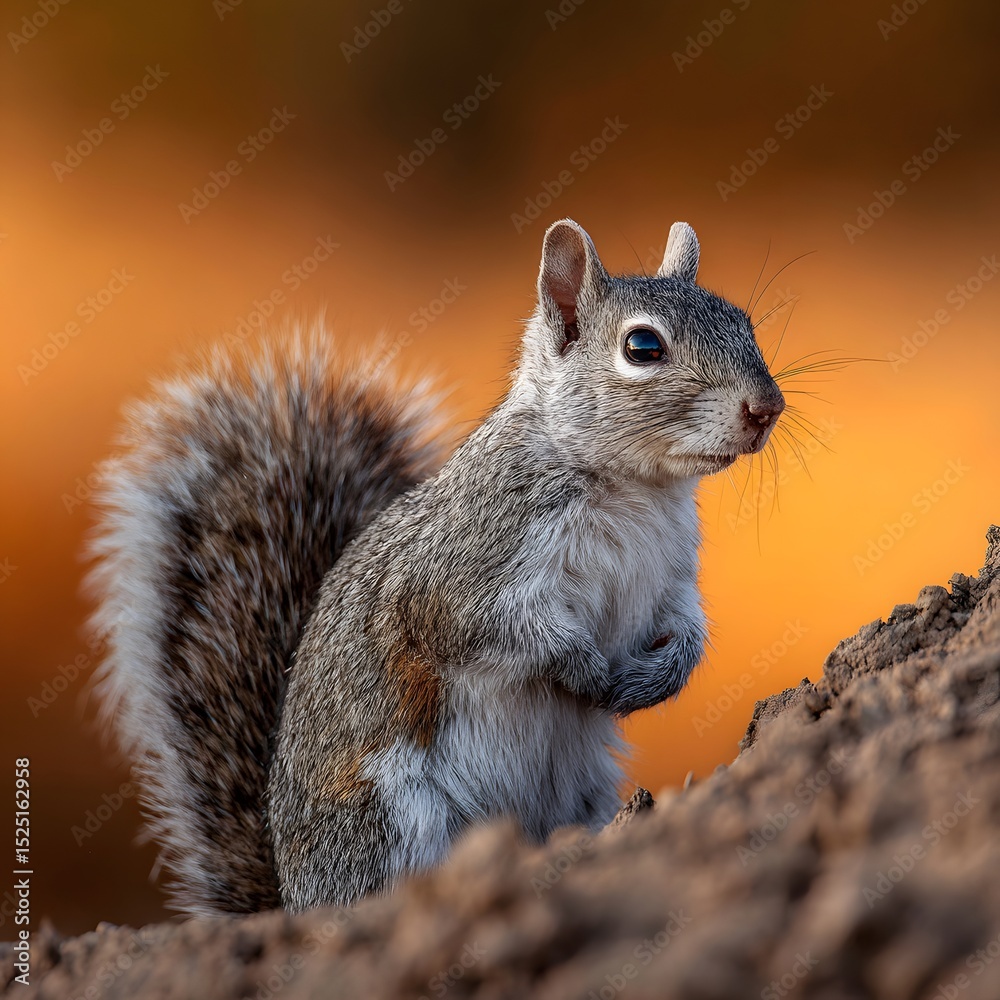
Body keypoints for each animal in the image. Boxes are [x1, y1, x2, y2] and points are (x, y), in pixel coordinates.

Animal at [89, 218, 785, 916]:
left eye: (743, 320)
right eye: (642, 346)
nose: (766, 407)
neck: (635, 488)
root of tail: (295, 897)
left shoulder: (671, 579)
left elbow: (687, 633)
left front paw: (650, 681)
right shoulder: (469, 565)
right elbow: (486, 627)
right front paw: (584, 670)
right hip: (392, 815)